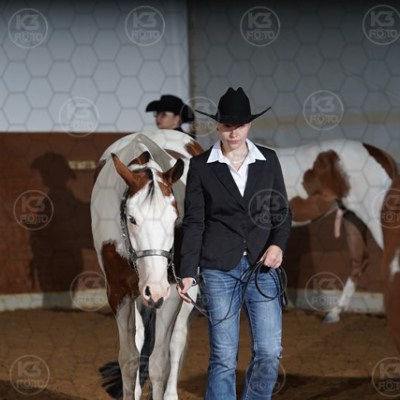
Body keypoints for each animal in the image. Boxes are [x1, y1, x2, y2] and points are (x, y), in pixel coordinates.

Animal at [91, 130, 203, 400]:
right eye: (132, 219)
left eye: (174, 218)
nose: (156, 289)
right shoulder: (118, 293)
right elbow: (129, 358)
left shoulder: (171, 291)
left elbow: (160, 360)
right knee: (141, 339)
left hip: (187, 290)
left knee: (177, 341)